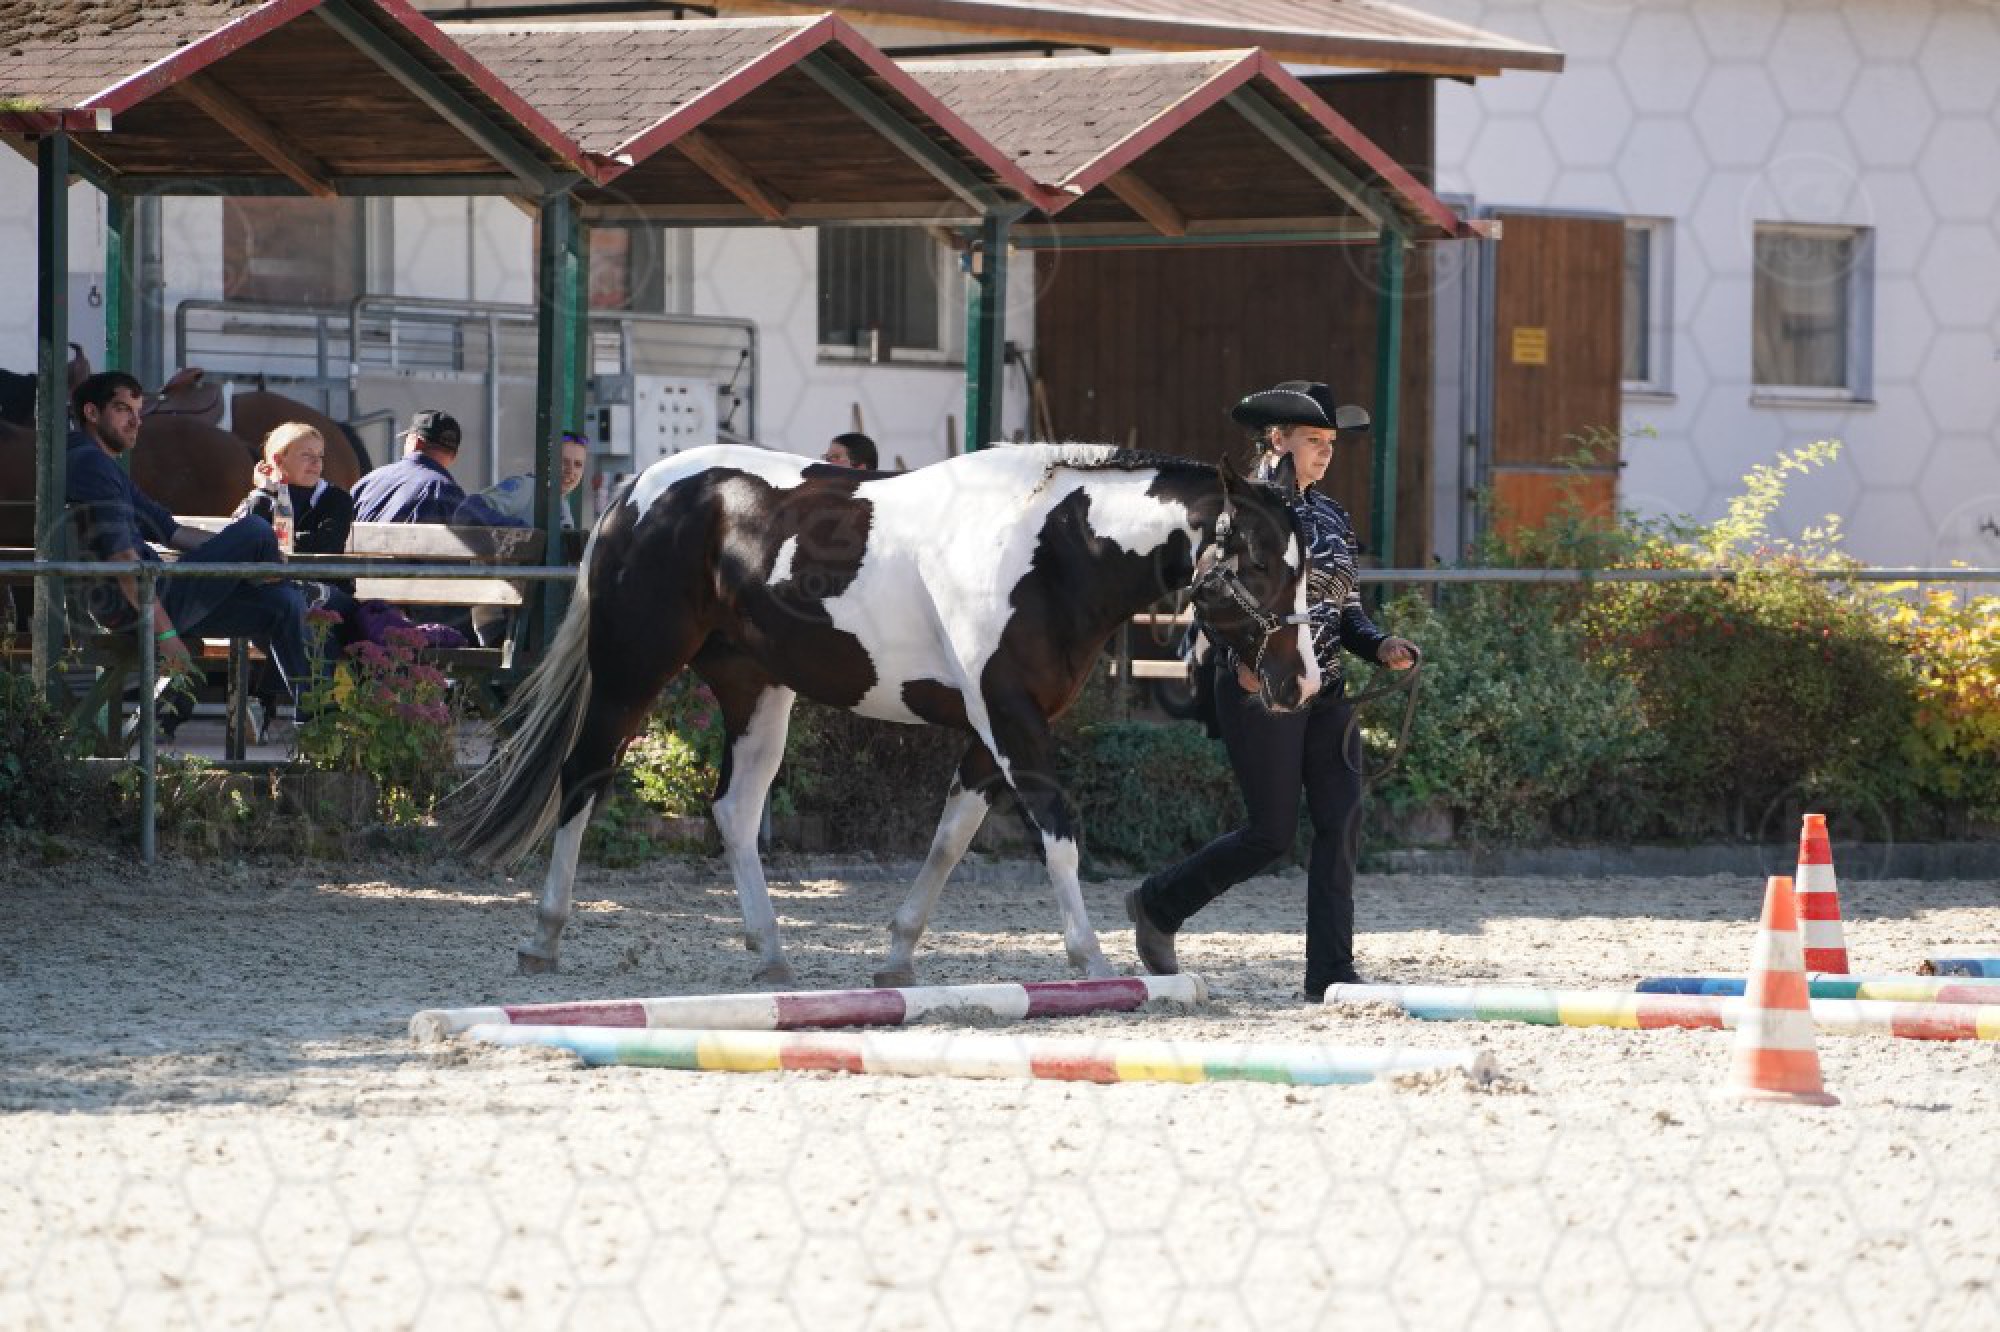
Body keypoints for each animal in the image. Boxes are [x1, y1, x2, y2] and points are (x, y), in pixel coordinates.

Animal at [446, 442, 1322, 986]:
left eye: (1302, 565)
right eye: (1260, 565)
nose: (1302, 684)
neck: (1050, 549)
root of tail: (636, 491)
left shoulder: (991, 731)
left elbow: (950, 840)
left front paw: (897, 956)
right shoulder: (1010, 720)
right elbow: (1058, 833)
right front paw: (1090, 959)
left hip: (756, 690)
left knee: (733, 810)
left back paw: (771, 954)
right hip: (632, 672)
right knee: (582, 778)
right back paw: (544, 936)